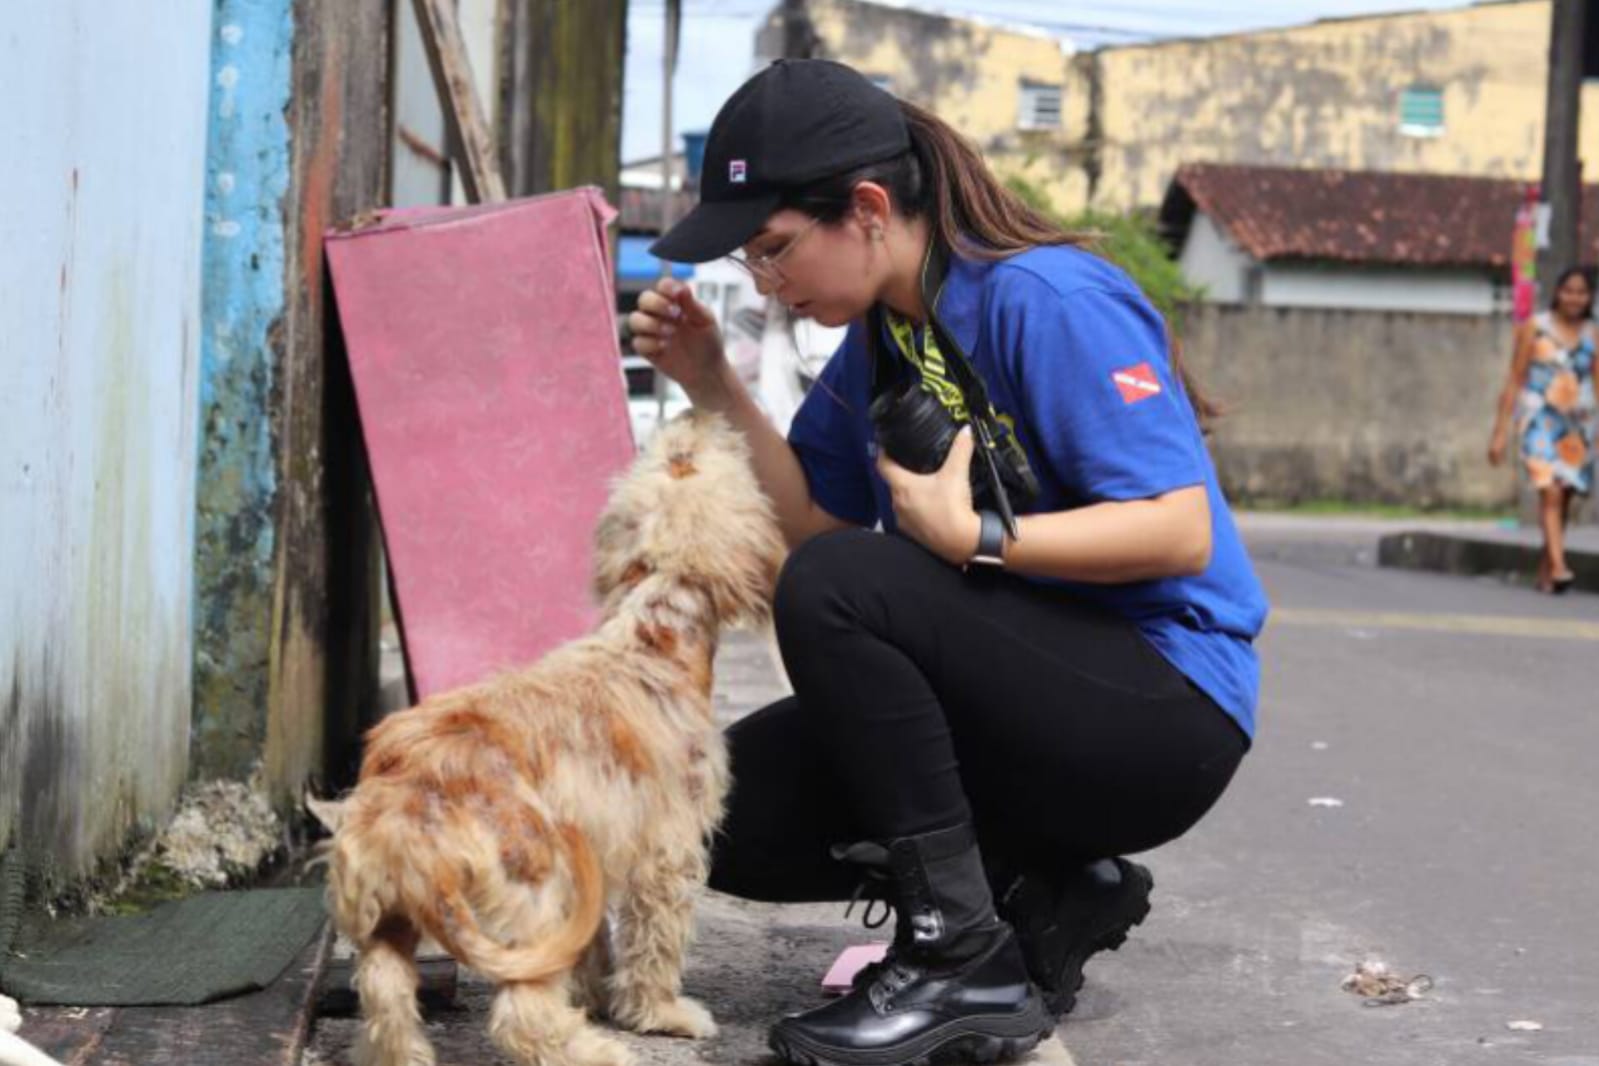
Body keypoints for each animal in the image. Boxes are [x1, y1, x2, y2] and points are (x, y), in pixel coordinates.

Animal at [316, 415, 780, 1066]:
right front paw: (661, 1014)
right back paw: (594, 1050)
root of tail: (412, 781)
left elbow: (595, 947)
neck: (653, 633)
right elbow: (655, 940)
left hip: (396, 911)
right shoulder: (666, 851)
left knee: (386, 993)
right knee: (520, 1014)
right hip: (533, 891)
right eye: (708, 456)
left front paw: (599, 997)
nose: (695, 416)